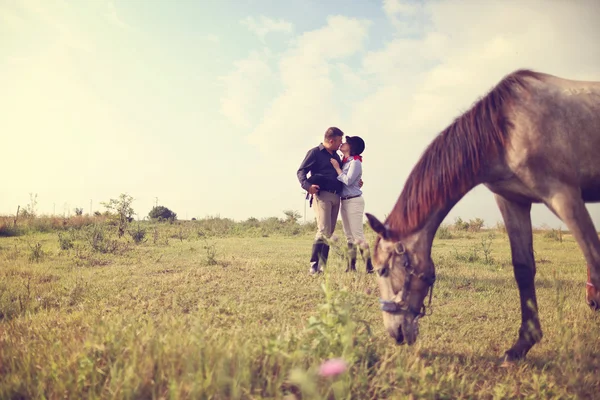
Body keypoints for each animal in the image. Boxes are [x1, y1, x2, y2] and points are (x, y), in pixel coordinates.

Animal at [364, 69, 600, 362]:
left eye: (383, 270)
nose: (394, 333)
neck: (506, 129)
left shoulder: (565, 196)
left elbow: (595, 259)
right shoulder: (513, 201)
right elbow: (523, 268)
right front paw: (522, 344)